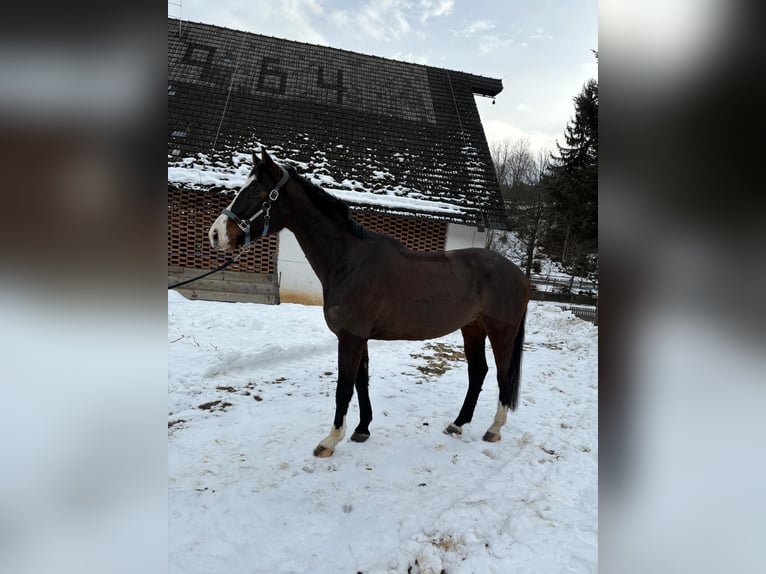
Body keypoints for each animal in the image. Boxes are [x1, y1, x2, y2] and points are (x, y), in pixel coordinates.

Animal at [212, 150, 536, 460]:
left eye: (256, 190)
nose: (216, 234)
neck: (349, 261)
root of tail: (520, 274)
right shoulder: (360, 337)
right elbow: (361, 382)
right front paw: (362, 429)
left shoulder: (351, 337)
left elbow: (344, 388)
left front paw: (330, 441)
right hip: (472, 328)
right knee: (478, 371)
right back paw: (457, 424)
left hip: (501, 332)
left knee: (502, 374)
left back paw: (494, 429)